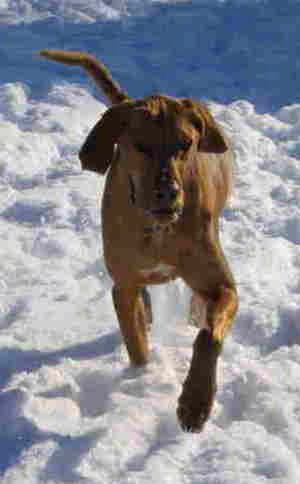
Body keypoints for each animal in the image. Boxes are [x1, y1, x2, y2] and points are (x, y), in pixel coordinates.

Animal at [39, 51, 239, 432]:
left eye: (185, 144)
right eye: (140, 146)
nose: (169, 193)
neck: (158, 228)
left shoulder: (222, 286)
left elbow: (209, 336)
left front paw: (195, 402)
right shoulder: (124, 285)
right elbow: (136, 343)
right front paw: (140, 379)